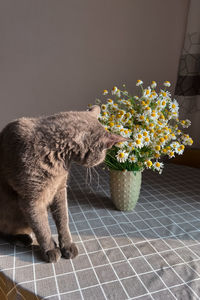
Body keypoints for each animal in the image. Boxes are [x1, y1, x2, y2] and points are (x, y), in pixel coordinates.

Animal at [0, 106, 125, 262]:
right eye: (102, 154)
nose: (101, 160)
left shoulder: (60, 189)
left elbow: (63, 219)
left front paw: (67, 246)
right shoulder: (32, 199)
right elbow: (42, 227)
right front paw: (50, 249)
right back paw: (22, 239)